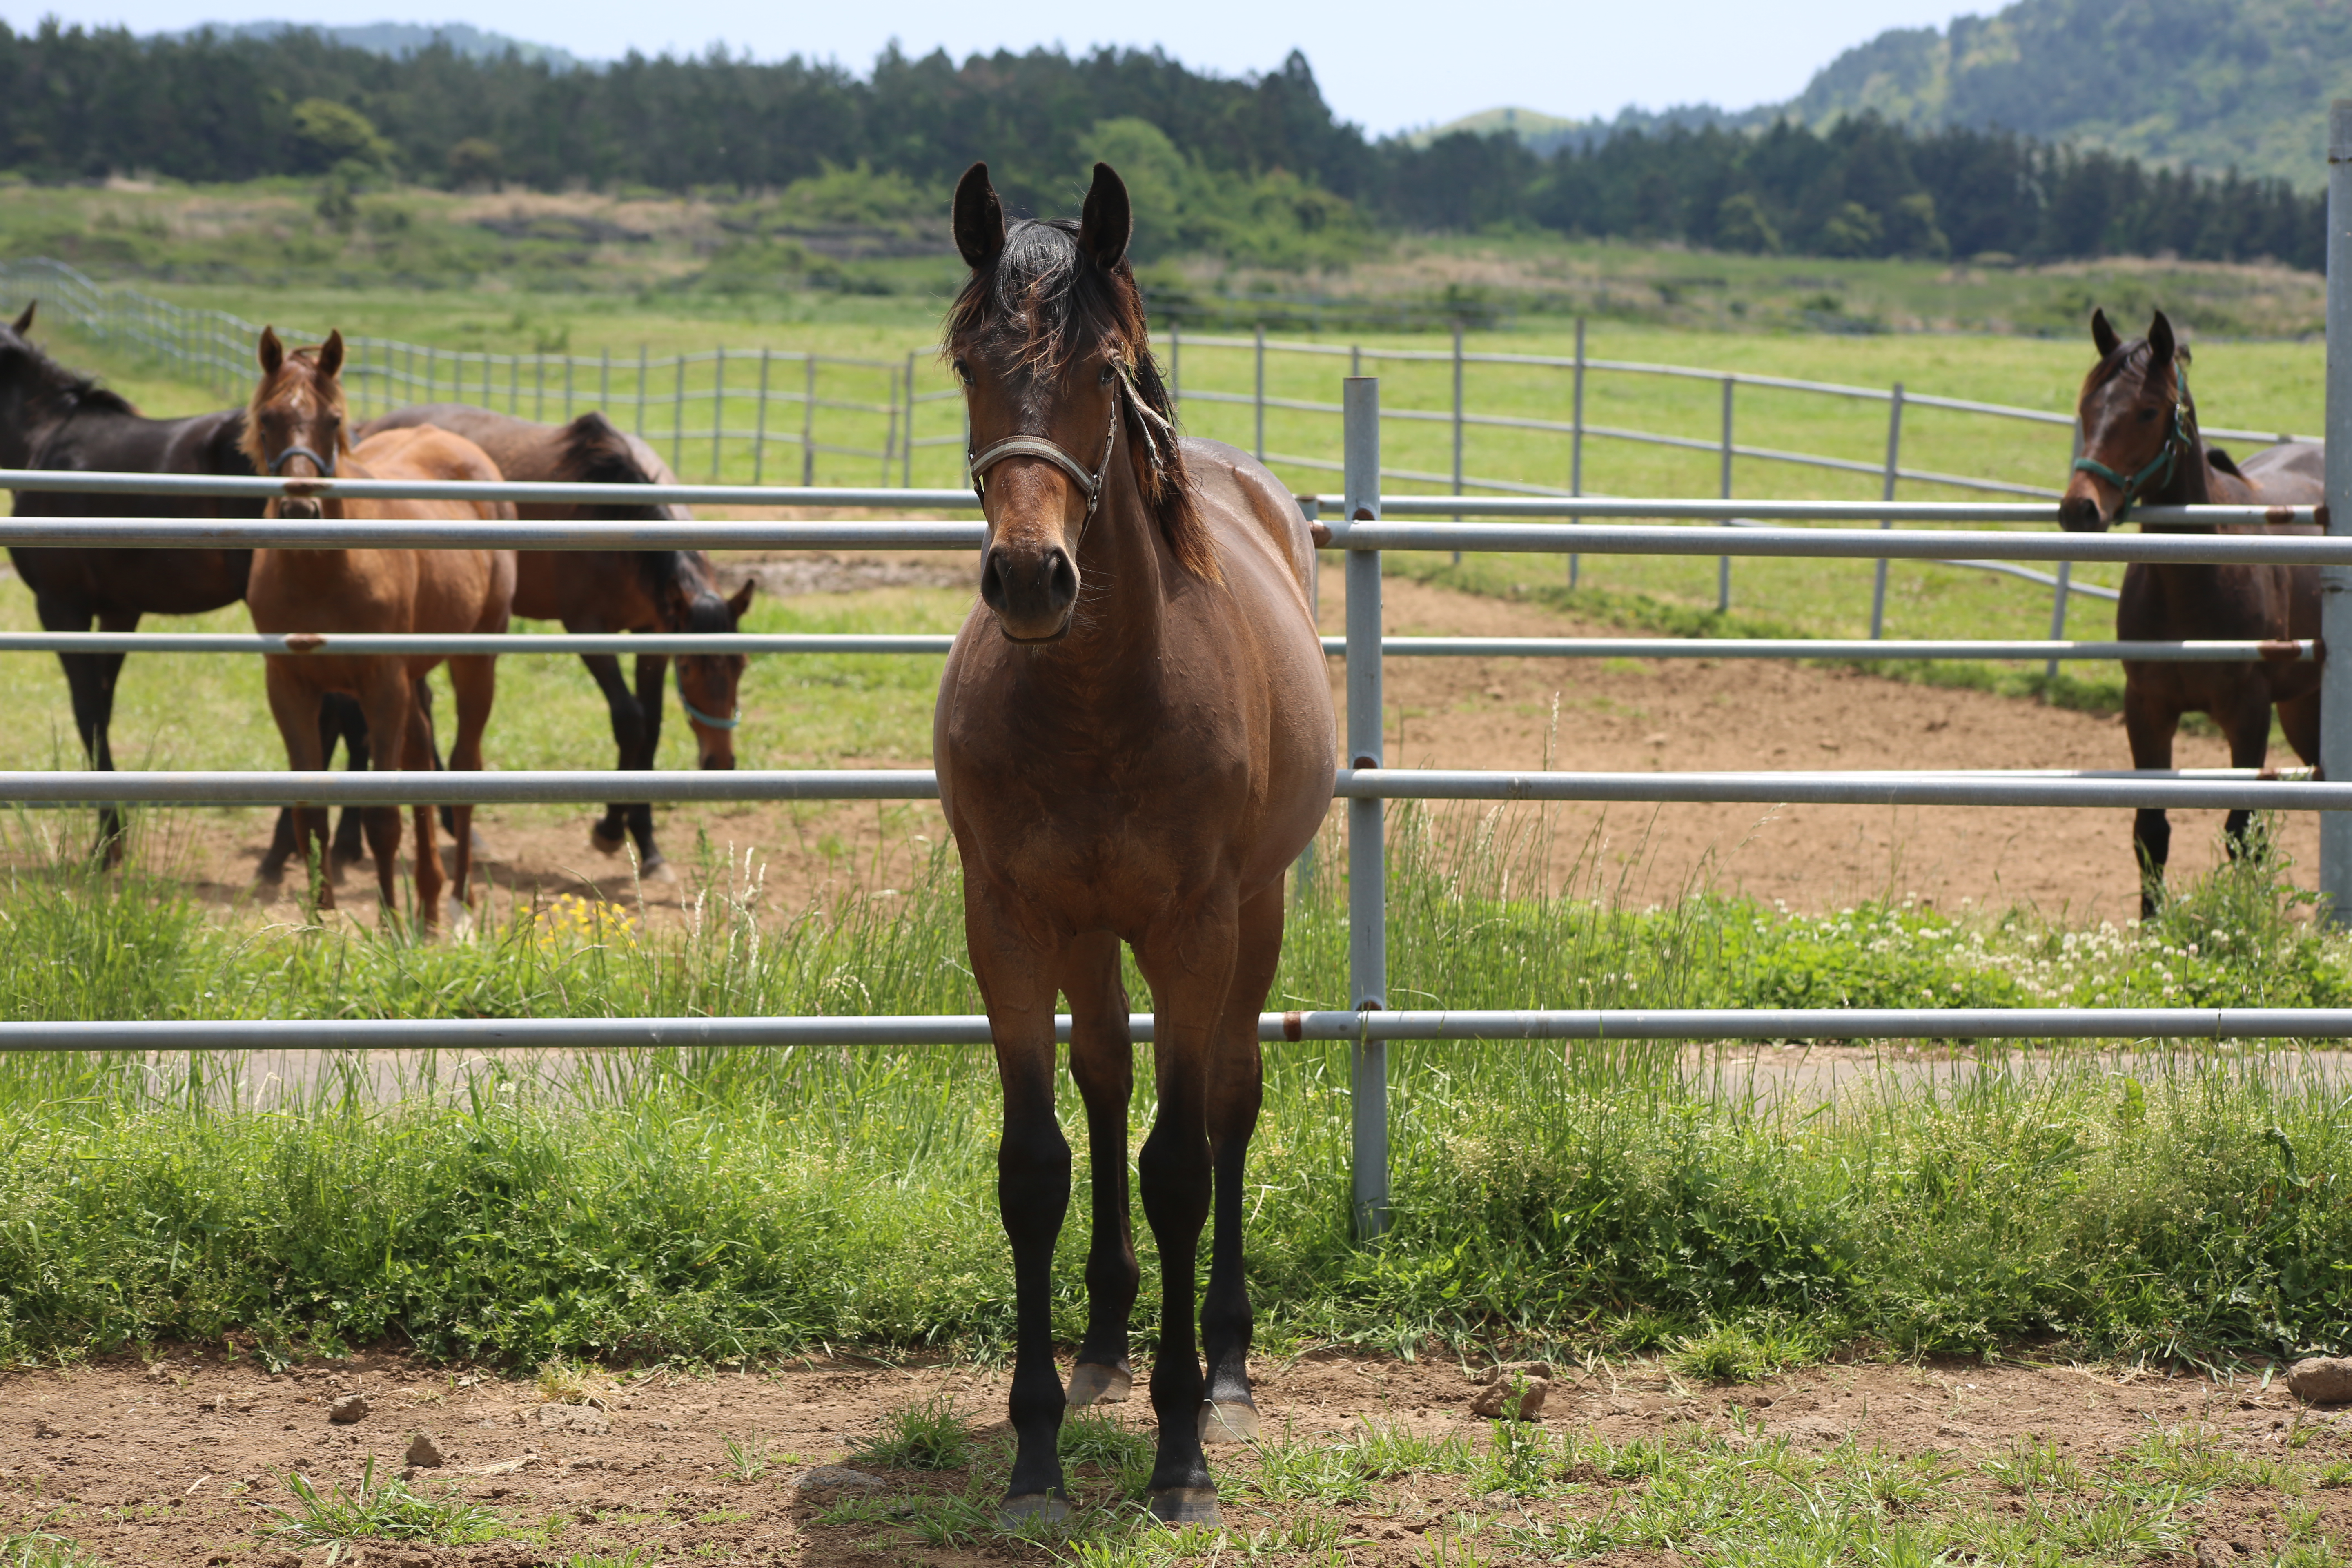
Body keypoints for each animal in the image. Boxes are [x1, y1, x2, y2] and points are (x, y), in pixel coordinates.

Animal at [238, 329, 515, 921]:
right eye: (268, 419)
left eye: (334, 420)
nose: (301, 511)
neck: (322, 571)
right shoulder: (290, 688)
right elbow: (311, 813)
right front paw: (320, 921)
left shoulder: (381, 686)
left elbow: (382, 817)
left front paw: (389, 924)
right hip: (415, 677)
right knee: (423, 760)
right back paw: (430, 899)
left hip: (474, 662)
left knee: (465, 764)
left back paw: (458, 897)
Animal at [355, 402, 753, 870]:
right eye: (688, 668)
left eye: (742, 665)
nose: (720, 761)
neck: (620, 521)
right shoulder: (587, 629)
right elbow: (630, 721)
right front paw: (610, 830)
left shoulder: (653, 633)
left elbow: (652, 727)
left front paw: (648, 843)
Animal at [936, 165, 1345, 1523]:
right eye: (967, 361)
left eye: (1103, 366)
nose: (1030, 578)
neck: (1101, 702)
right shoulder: (1011, 923)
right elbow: (1035, 1165)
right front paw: (1035, 1452)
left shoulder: (1195, 926)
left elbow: (1182, 1165)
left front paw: (1180, 1454)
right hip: (1088, 932)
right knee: (1108, 1082)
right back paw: (1107, 1339)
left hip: (1253, 917)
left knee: (1228, 1106)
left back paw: (1223, 1363)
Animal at [2051, 305, 2323, 912]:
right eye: (2086, 406)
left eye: (2149, 411)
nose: (2079, 508)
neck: (2195, 578)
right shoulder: (2147, 708)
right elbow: (2151, 832)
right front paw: (2151, 928)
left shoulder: (2248, 714)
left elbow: (2242, 832)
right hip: (2303, 708)